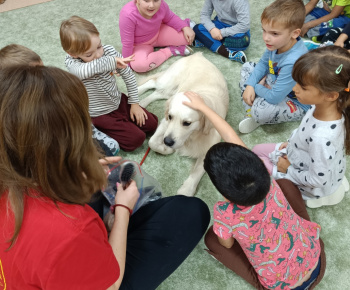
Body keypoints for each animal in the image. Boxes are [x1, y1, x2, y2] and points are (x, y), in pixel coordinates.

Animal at [139, 53, 230, 196]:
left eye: (187, 123)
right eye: (170, 117)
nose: (167, 142)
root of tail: (199, 55)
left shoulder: (211, 142)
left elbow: (197, 172)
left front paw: (187, 189)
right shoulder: (165, 123)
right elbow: (152, 142)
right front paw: (167, 150)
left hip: (171, 92)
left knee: (157, 93)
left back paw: (141, 103)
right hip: (169, 82)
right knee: (152, 83)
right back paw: (135, 93)